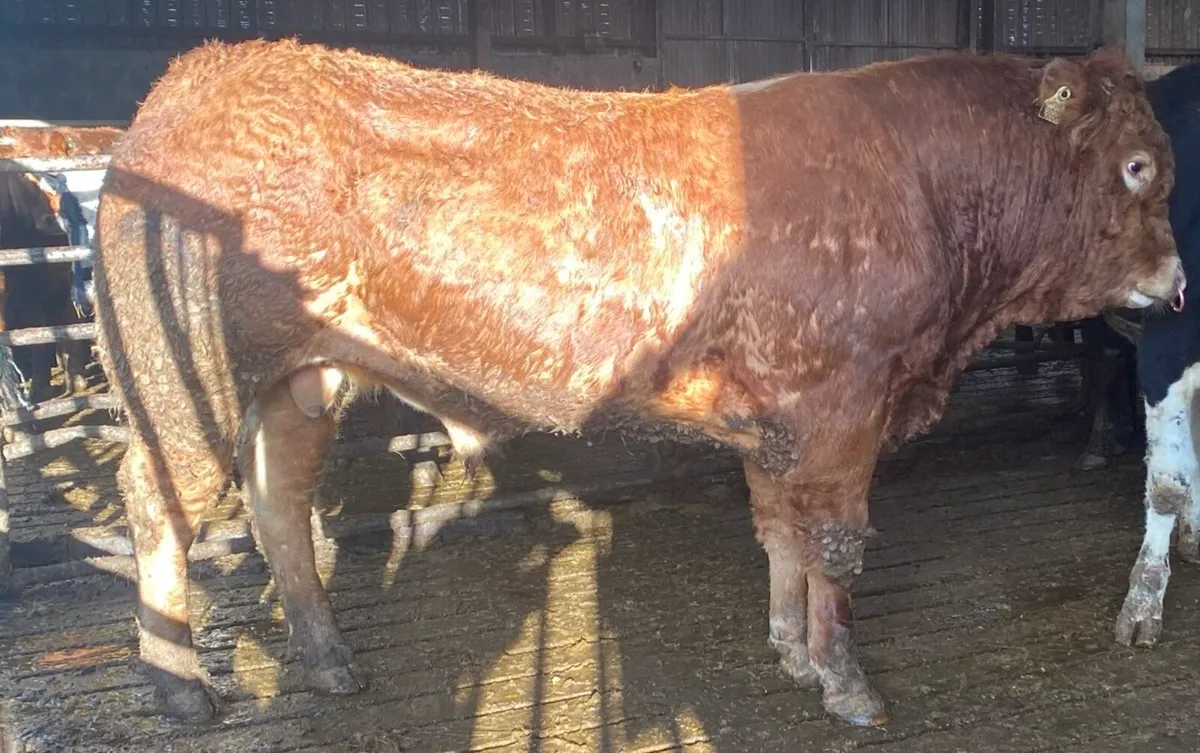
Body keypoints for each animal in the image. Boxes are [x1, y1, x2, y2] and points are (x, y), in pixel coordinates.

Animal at [92, 40, 1181, 726]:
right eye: (1137, 167)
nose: (1176, 285)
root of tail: (201, 72)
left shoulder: (782, 422)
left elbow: (781, 534)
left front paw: (790, 650)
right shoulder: (841, 410)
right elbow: (836, 549)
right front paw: (846, 681)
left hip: (302, 378)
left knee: (278, 505)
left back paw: (325, 661)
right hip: (184, 381)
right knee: (159, 503)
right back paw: (182, 690)